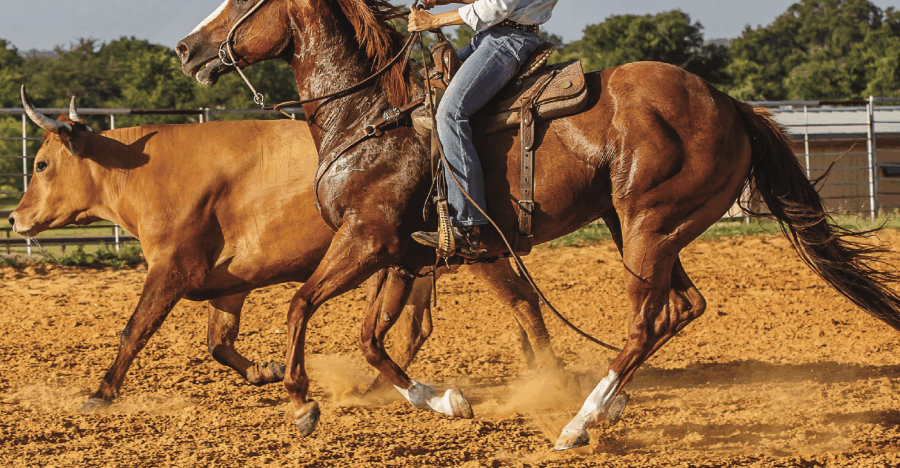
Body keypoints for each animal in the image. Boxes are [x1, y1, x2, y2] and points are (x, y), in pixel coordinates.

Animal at [8, 87, 563, 412]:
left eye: (40, 164)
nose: (13, 218)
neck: (150, 170)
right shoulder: (228, 284)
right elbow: (218, 342)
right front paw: (266, 371)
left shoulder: (171, 269)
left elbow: (135, 330)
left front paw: (101, 393)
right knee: (419, 325)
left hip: (474, 249)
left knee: (522, 302)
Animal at [176, 0, 900, 450]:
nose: (186, 48)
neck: (371, 118)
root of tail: (729, 103)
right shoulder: (401, 258)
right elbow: (373, 341)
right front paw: (446, 402)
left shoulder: (365, 242)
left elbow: (300, 305)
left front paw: (302, 404)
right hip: (647, 229)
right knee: (683, 307)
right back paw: (603, 404)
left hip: (648, 225)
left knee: (647, 322)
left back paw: (578, 425)